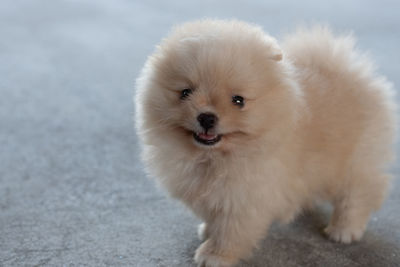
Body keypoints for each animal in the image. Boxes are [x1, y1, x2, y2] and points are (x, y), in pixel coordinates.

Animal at [134, 19, 396, 266]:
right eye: (185, 93)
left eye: (238, 100)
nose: (207, 117)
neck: (213, 157)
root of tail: (348, 69)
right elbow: (214, 217)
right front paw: (208, 231)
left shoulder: (245, 198)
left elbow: (230, 231)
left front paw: (214, 254)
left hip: (356, 160)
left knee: (360, 192)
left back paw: (344, 229)